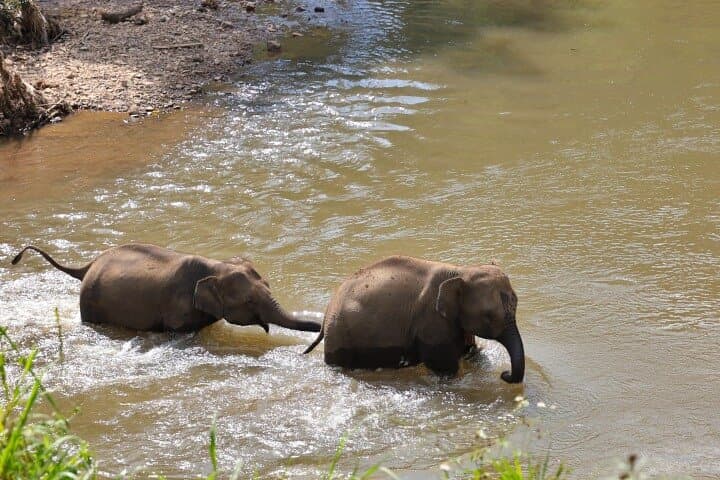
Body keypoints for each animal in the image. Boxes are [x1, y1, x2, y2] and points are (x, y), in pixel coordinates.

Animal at [11, 244, 321, 334]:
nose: (320, 327)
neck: (214, 267)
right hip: (90, 305)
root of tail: (88, 266)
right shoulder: (177, 311)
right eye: (248, 301)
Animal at [304, 256, 524, 383]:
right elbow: (444, 366)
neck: (461, 270)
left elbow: (471, 351)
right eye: (488, 315)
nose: (504, 374)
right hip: (340, 336)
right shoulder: (431, 321)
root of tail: (327, 312)